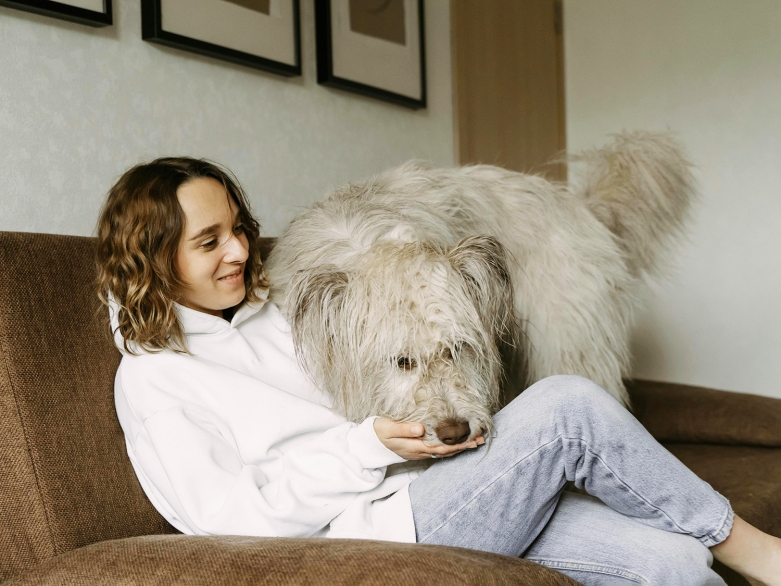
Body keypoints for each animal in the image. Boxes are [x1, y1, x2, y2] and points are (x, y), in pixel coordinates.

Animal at [266, 132, 692, 442]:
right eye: (402, 361)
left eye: (458, 348)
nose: (455, 432)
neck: (366, 241)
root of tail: (586, 208)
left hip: (573, 348)